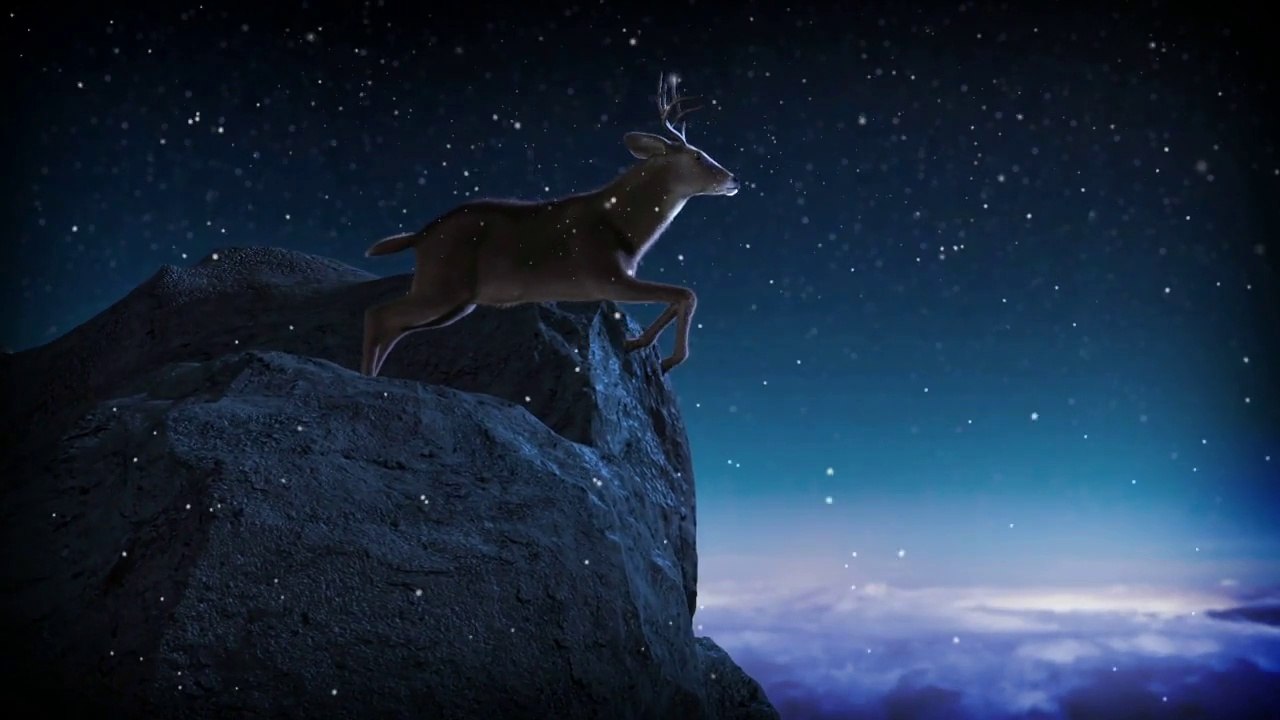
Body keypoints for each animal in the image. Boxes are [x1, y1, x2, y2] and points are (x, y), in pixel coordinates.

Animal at [359, 72, 739, 378]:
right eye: (697, 156)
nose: (733, 179)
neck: (624, 228)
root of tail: (420, 235)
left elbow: (678, 296)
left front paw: (637, 343)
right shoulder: (604, 276)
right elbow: (685, 293)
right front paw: (669, 359)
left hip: (456, 299)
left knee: (394, 325)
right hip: (443, 284)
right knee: (379, 314)